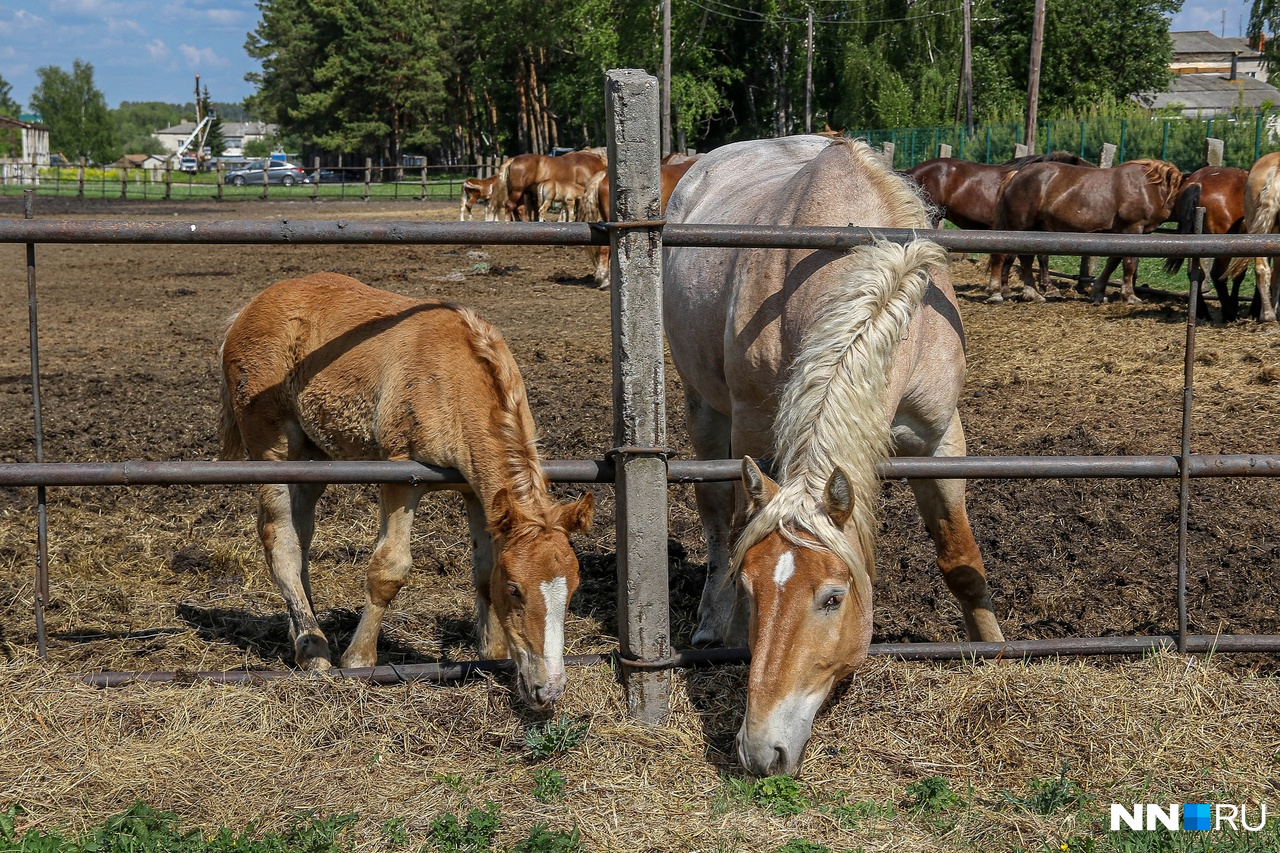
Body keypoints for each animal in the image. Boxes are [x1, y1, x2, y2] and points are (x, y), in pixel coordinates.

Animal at [221, 272, 593, 701]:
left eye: (573, 588)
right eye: (516, 589)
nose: (549, 689)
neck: (453, 378)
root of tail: (246, 310)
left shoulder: (477, 492)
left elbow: (483, 572)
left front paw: (491, 654)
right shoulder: (400, 476)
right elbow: (389, 569)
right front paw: (359, 660)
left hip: (312, 459)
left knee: (300, 538)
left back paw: (301, 636)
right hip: (272, 447)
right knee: (280, 540)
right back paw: (314, 649)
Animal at [665, 134, 1003, 778]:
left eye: (832, 598)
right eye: (755, 592)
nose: (760, 750)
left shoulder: (941, 439)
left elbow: (960, 561)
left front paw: (996, 648)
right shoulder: (752, 425)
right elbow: (739, 527)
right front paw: (733, 628)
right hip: (704, 408)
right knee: (717, 517)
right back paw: (708, 624)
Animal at [993, 157, 1182, 303]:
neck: (1151, 187)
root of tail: (1016, 175)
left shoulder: (1124, 234)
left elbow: (1113, 262)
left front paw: (1098, 292)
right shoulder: (1132, 229)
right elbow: (1129, 263)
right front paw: (1129, 295)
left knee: (1026, 259)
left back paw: (1031, 293)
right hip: (1019, 227)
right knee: (1007, 256)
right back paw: (999, 292)